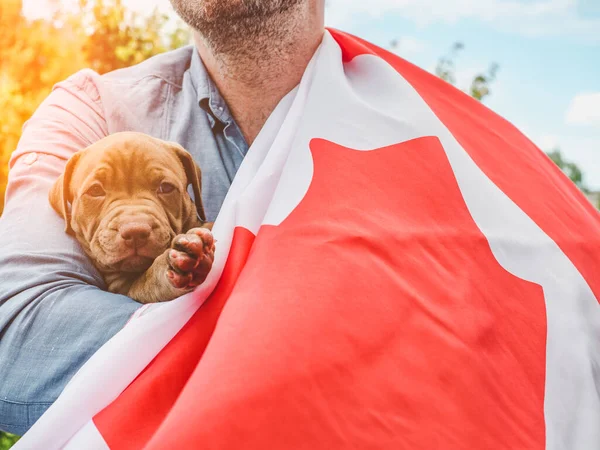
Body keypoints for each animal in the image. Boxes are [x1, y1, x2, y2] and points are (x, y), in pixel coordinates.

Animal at [49, 132, 216, 304]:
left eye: (166, 187)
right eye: (95, 190)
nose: (135, 231)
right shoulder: (125, 287)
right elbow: (147, 282)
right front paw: (172, 266)